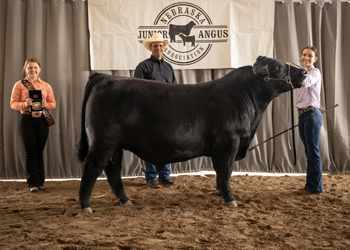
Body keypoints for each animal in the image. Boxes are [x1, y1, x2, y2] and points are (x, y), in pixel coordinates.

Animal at [77, 55, 306, 212]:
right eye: (277, 67)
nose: (303, 72)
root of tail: (105, 77)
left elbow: (222, 173)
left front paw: (220, 193)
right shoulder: (229, 143)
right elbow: (225, 171)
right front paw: (230, 199)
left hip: (115, 145)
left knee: (113, 170)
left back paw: (125, 201)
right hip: (103, 141)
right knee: (92, 167)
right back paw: (85, 205)